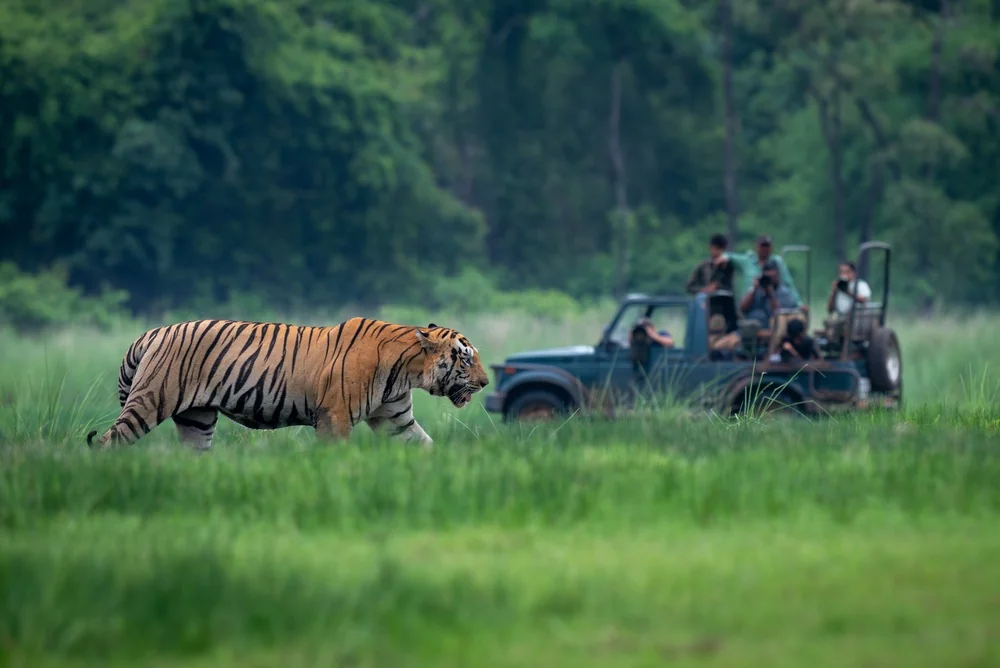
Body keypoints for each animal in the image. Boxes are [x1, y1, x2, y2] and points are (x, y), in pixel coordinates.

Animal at [85, 317, 489, 450]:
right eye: (466, 357)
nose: (486, 383)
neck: (407, 370)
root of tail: (151, 332)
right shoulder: (335, 417)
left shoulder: (396, 419)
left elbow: (424, 445)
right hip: (150, 400)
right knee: (108, 442)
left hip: (197, 419)